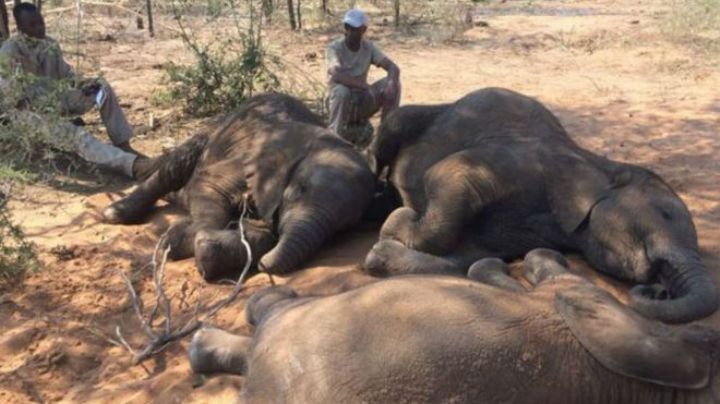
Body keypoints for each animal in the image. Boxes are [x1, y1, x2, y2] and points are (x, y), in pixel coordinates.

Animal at [103, 93, 375, 280]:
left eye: (342, 228)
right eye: (300, 190)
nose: (264, 265)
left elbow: (265, 234)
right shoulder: (248, 160)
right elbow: (209, 185)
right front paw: (179, 241)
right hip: (212, 132)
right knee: (176, 167)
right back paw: (115, 213)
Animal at [362, 87, 718, 323]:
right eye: (665, 214)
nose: (659, 290)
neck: (598, 164)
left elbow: (467, 255)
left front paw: (382, 252)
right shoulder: (523, 162)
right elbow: (447, 174)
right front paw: (397, 221)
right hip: (412, 118)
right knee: (390, 133)